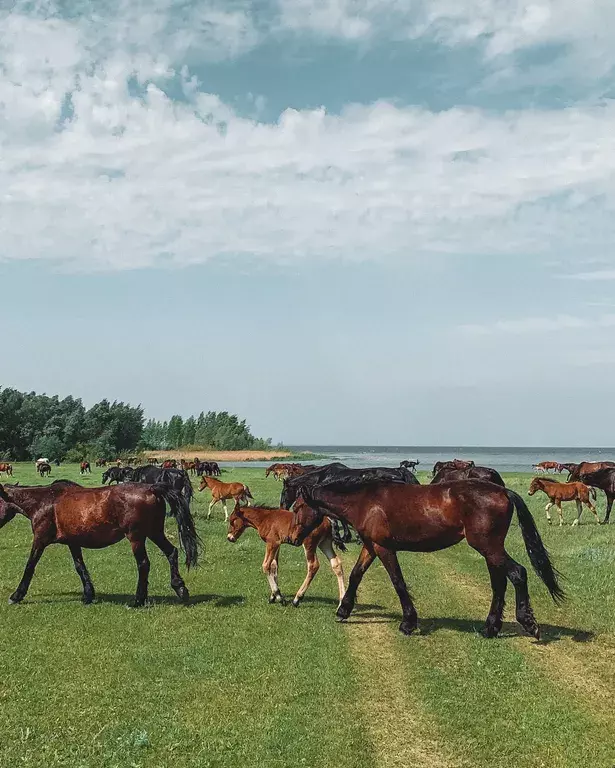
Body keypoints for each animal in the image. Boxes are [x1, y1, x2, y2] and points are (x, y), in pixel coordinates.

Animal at [0, 480, 201, 608]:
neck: (44, 501)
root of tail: (152, 488)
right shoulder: (73, 542)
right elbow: (80, 567)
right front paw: (88, 595)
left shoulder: (40, 539)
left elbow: (30, 566)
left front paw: (16, 595)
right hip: (154, 532)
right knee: (171, 552)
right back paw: (180, 588)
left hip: (136, 537)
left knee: (144, 564)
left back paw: (138, 601)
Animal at [286, 480, 564, 636]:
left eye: (298, 507)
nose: (293, 538)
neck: (364, 502)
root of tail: (504, 492)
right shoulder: (371, 546)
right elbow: (356, 575)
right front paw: (343, 609)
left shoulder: (384, 548)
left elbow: (398, 582)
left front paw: (408, 623)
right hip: (490, 550)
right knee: (499, 583)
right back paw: (490, 627)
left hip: (489, 547)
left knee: (517, 573)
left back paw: (527, 623)